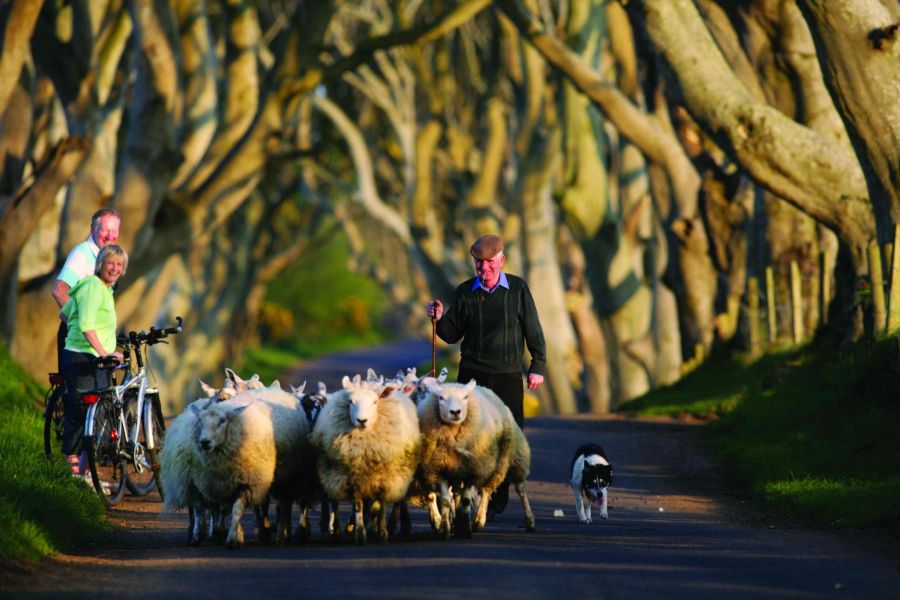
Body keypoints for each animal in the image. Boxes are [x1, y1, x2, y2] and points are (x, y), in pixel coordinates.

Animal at [312, 376, 420, 544]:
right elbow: (358, 505)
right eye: (350, 401)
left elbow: (381, 504)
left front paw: (382, 531)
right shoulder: (355, 477)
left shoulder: (385, 477)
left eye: (375, 402)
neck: (365, 447)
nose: (361, 420)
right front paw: (360, 532)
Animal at [416, 378, 536, 536]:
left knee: (510, 488)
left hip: (508, 459)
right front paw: (444, 527)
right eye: (441, 398)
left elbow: (466, 500)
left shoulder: (472, 470)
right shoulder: (437, 469)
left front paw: (464, 528)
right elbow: (444, 500)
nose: (455, 412)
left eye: (465, 397)